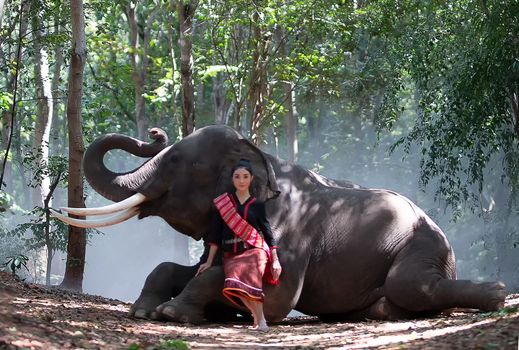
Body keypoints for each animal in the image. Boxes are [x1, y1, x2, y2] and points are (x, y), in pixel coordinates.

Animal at [52, 124, 508, 324]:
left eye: (178, 160)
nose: (154, 132)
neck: (259, 156)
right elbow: (184, 267)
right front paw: (144, 310)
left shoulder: (289, 230)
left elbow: (276, 295)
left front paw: (173, 313)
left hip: (423, 246)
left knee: (409, 285)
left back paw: (498, 292)